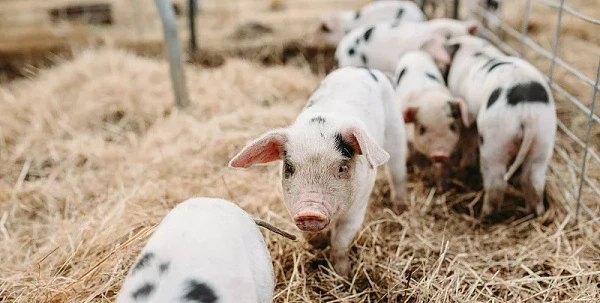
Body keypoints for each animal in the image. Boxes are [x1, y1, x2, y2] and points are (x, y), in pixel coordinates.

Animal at [229, 67, 408, 278]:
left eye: (341, 168)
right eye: (289, 167)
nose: (310, 211)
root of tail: (362, 69)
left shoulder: (358, 207)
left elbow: (340, 242)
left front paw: (343, 275)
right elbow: (308, 236)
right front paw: (319, 244)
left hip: (396, 131)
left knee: (397, 171)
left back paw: (401, 208)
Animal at [394, 46, 474, 192]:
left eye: (453, 126)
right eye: (422, 129)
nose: (440, 154)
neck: (428, 95)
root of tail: (415, 52)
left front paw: (442, 187)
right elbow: (409, 152)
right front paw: (414, 165)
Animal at [442, 35, 556, 218]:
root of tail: (527, 114)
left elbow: (468, 136)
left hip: (495, 139)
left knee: (496, 183)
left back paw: (484, 216)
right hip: (543, 138)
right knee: (533, 180)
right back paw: (536, 213)